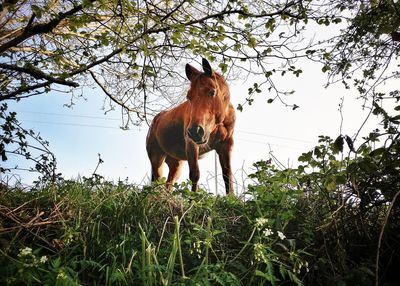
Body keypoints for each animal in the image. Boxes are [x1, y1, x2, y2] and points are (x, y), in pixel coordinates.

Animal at [146, 57, 234, 194]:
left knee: (168, 185)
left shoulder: (226, 145)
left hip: (176, 163)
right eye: (189, 96)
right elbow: (195, 174)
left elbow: (227, 175)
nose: (195, 131)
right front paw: (193, 198)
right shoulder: (192, 144)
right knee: (157, 184)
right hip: (157, 159)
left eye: (212, 92)